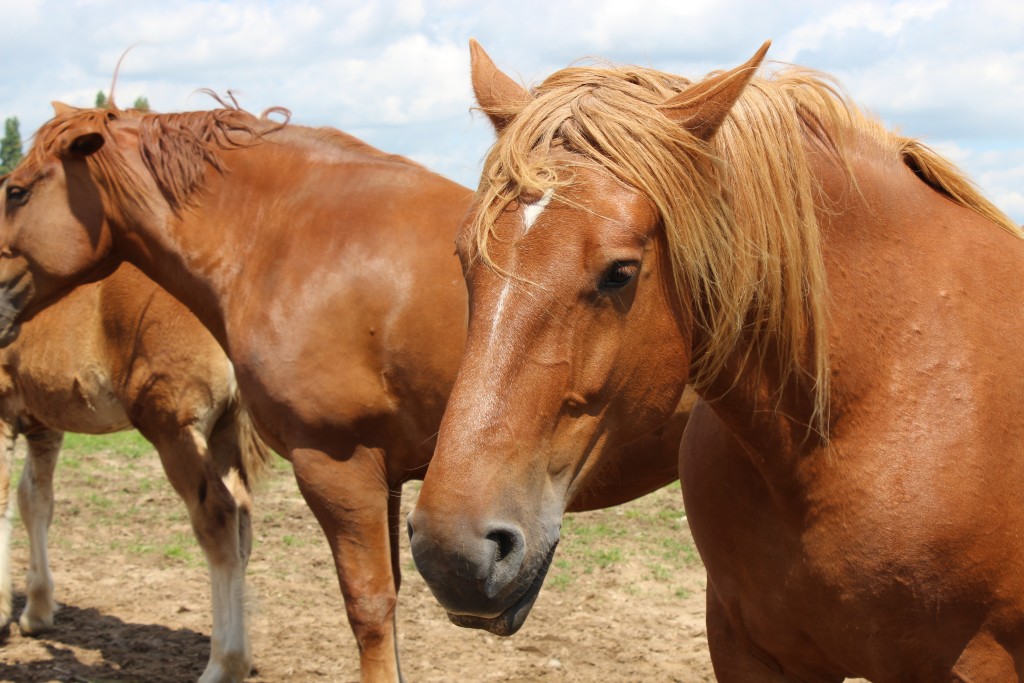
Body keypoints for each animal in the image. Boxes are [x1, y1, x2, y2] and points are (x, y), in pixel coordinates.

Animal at [0, 262, 272, 683]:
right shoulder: (45, 421)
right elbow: (35, 503)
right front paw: (37, 610)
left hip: (174, 430)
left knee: (218, 519)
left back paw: (224, 664)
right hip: (223, 432)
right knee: (241, 519)